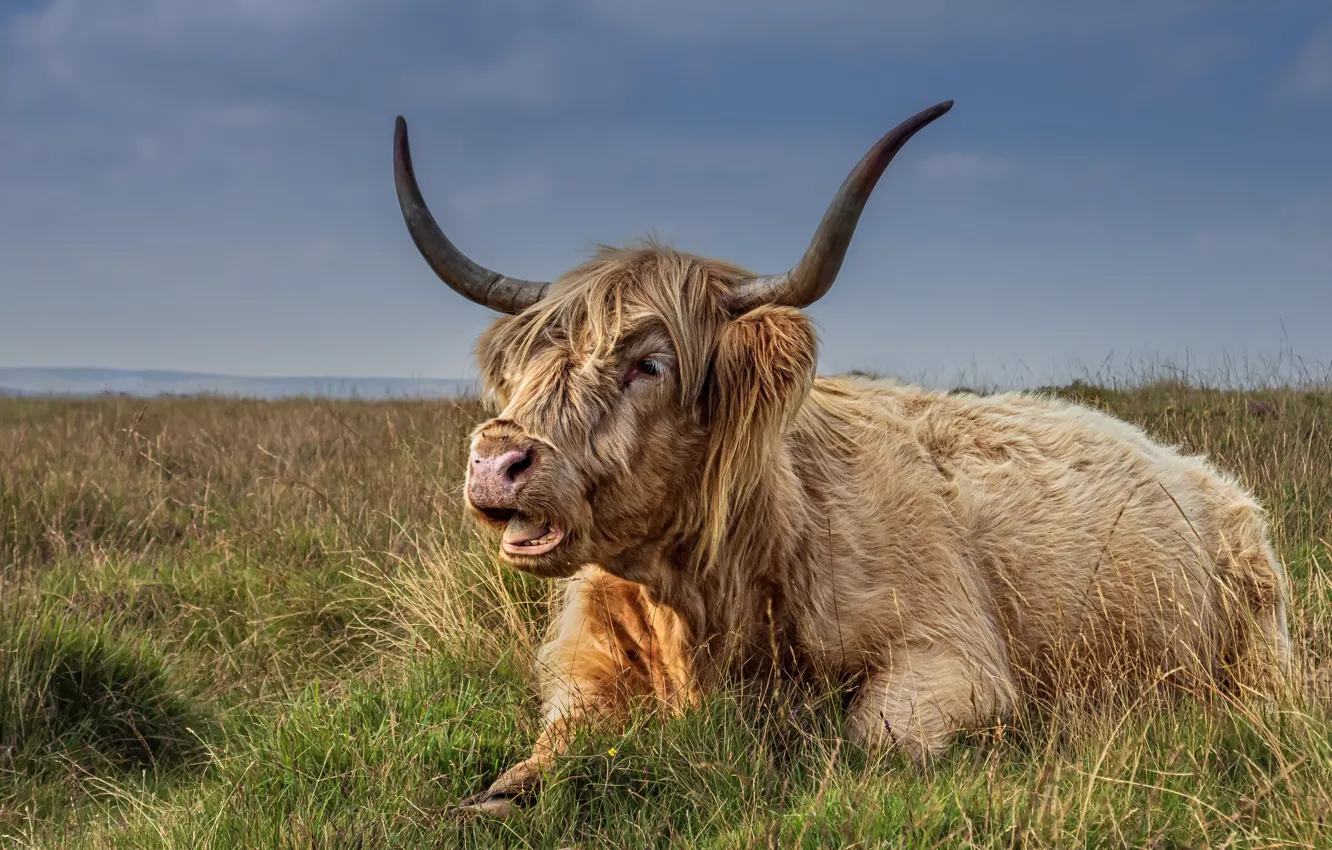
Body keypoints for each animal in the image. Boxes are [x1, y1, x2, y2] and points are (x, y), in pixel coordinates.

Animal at [391, 100, 1293, 817]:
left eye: (650, 364)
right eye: (526, 362)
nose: (498, 459)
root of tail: (1205, 476)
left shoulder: (957, 662)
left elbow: (871, 742)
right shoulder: (582, 669)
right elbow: (550, 746)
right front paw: (495, 796)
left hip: (1261, 649)